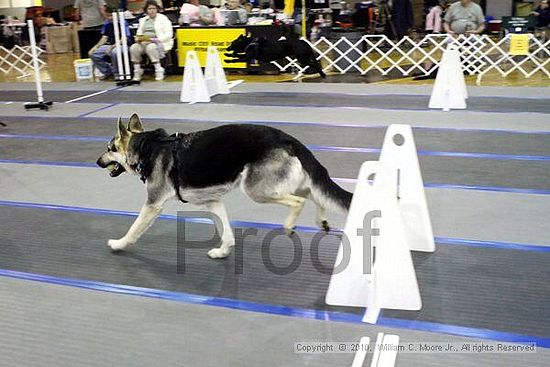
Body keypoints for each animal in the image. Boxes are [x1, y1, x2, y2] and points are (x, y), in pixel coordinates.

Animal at [97, 115, 352, 258]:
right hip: (281, 184)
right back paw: (321, 219)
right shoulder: (213, 202)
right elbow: (226, 230)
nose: (97, 161)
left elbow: (133, 229)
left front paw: (119, 244)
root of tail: (287, 138)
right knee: (313, 192)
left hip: (257, 190)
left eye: (110, 149)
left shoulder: (153, 205)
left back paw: (290, 224)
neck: (146, 147)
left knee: (299, 201)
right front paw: (223, 251)